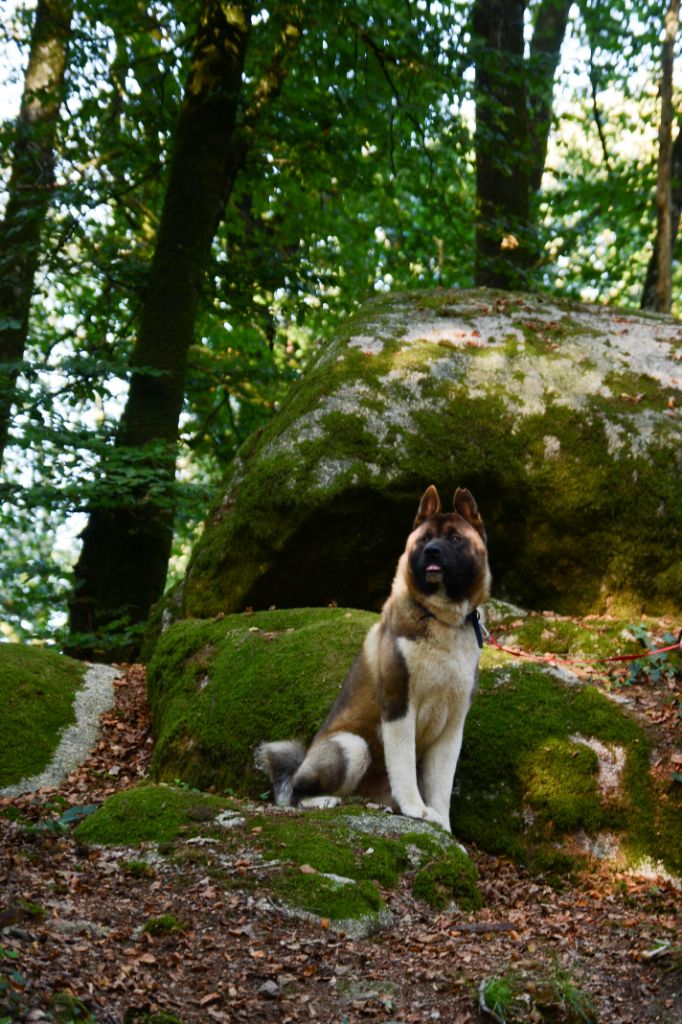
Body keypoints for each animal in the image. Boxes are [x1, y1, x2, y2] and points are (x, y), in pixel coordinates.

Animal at [256, 485, 489, 831]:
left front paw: (443, 827)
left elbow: (441, 786)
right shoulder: (398, 706)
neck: (438, 617)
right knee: (296, 793)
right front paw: (416, 809)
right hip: (353, 746)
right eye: (424, 539)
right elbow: (404, 767)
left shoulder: (452, 726)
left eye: (455, 538)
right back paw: (323, 800)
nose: (432, 551)